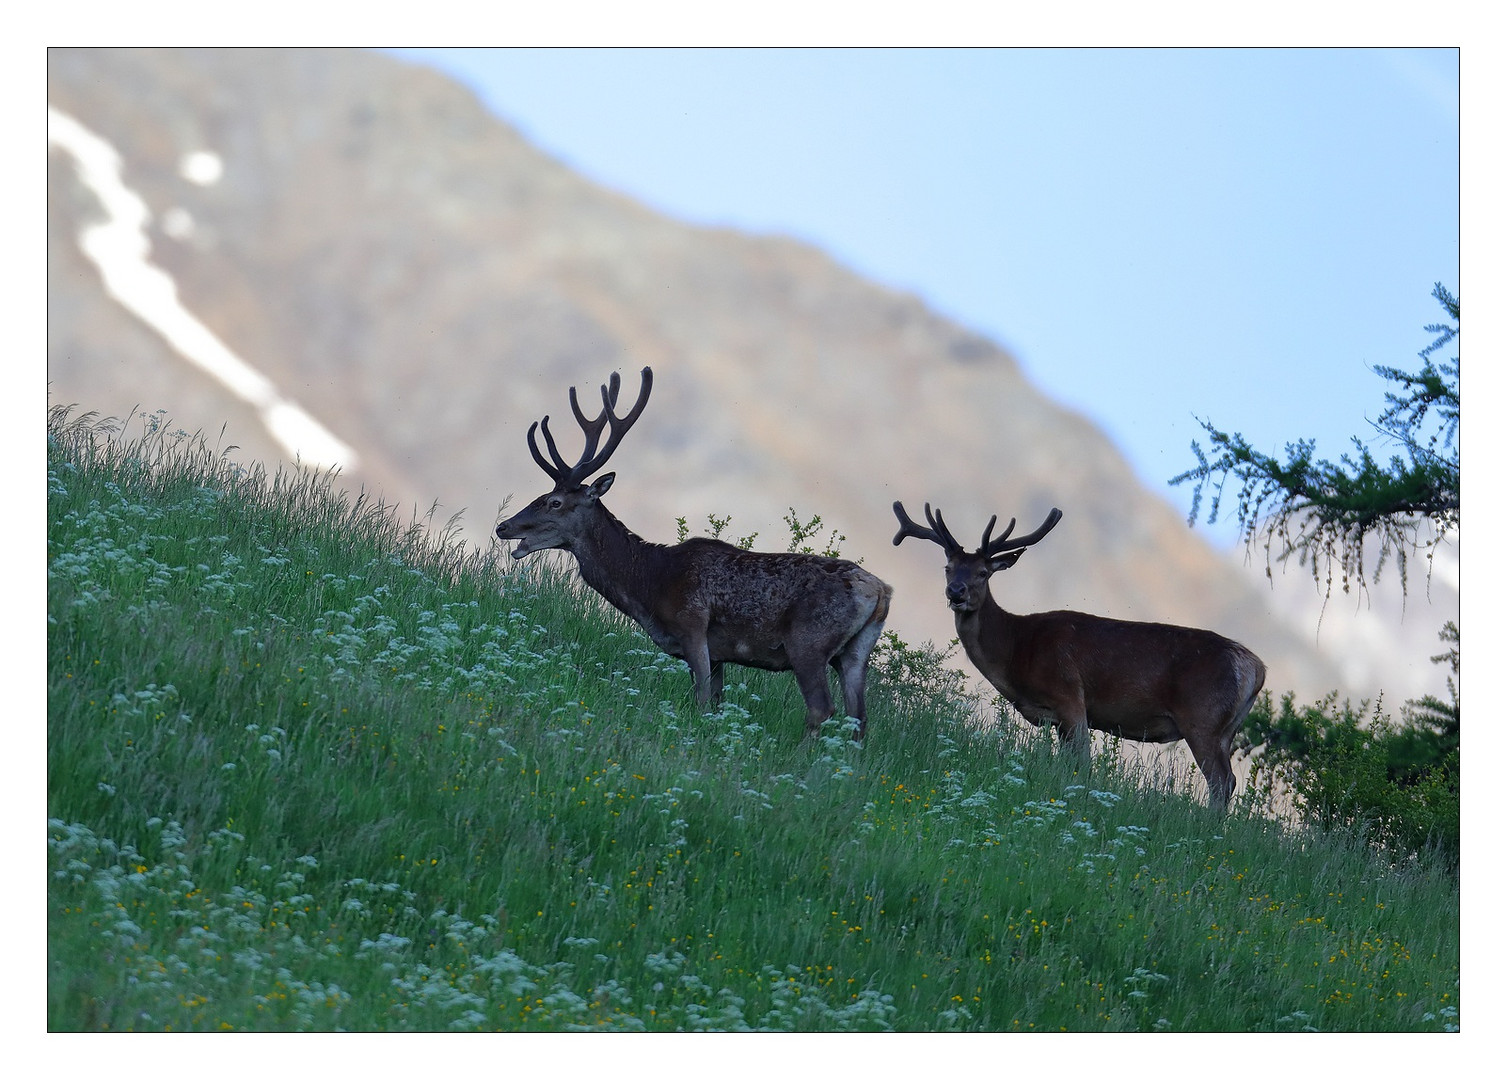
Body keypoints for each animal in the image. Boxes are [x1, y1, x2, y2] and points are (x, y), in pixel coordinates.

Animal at [494, 366, 892, 738]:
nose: (503, 527)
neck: (650, 584)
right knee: (860, 718)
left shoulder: (692, 626)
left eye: (554, 502)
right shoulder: (718, 652)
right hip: (855, 653)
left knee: (822, 709)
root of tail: (880, 591)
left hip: (808, 642)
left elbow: (700, 700)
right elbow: (715, 703)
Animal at [892, 500, 1259, 807]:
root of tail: (1256, 668)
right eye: (948, 567)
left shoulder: (1069, 695)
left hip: (1203, 719)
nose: (956, 592)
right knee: (1229, 780)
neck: (1017, 651)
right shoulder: (1057, 717)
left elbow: (1081, 763)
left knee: (1221, 781)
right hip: (1226, 729)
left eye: (983, 572)